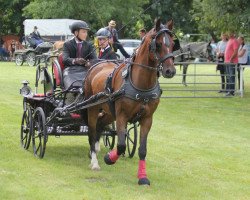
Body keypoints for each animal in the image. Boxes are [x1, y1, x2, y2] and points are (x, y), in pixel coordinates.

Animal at [84, 19, 176, 186]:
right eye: (158, 44)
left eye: (172, 43)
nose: (170, 71)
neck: (141, 85)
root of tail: (97, 65)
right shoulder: (122, 116)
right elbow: (121, 145)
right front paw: (109, 158)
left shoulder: (147, 119)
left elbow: (142, 150)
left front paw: (143, 177)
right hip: (93, 108)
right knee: (92, 131)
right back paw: (94, 161)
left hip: (109, 112)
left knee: (100, 126)